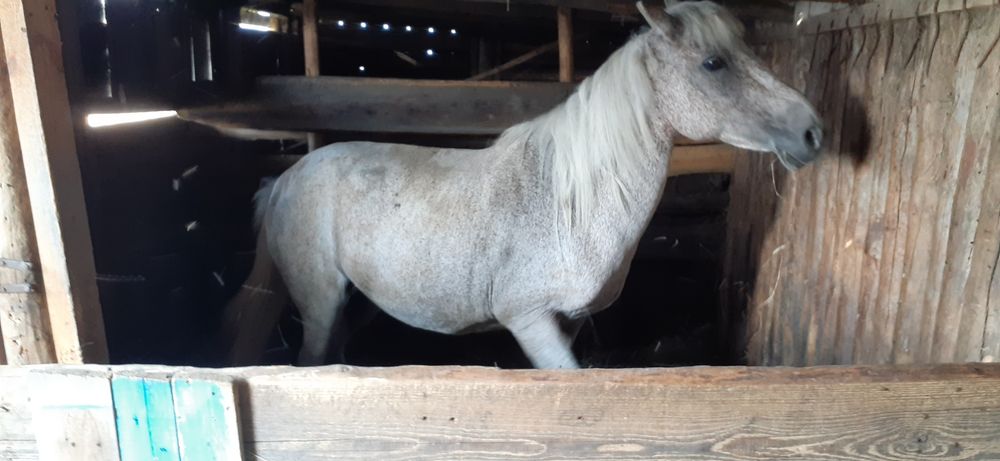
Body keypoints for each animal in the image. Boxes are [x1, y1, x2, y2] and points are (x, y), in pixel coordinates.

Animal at [219, 0, 824, 369]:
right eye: (713, 63)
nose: (812, 130)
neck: (568, 205)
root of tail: (285, 179)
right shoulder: (529, 321)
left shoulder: (568, 323)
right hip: (320, 301)